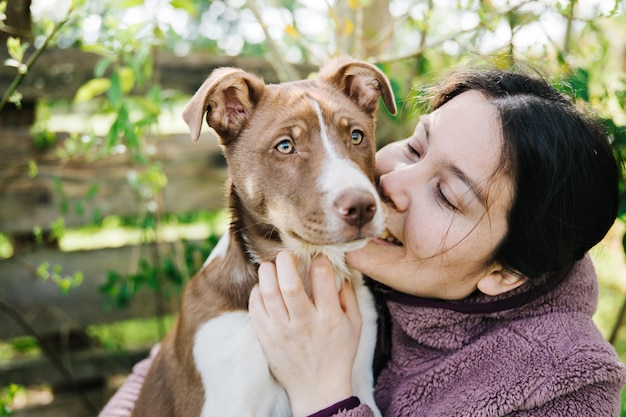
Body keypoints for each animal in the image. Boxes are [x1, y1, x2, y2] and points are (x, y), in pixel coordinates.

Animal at [130, 57, 394, 416]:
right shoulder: (229, 396)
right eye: (285, 146)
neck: (304, 268)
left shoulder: (362, 383)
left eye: (356, 136)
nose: (363, 208)